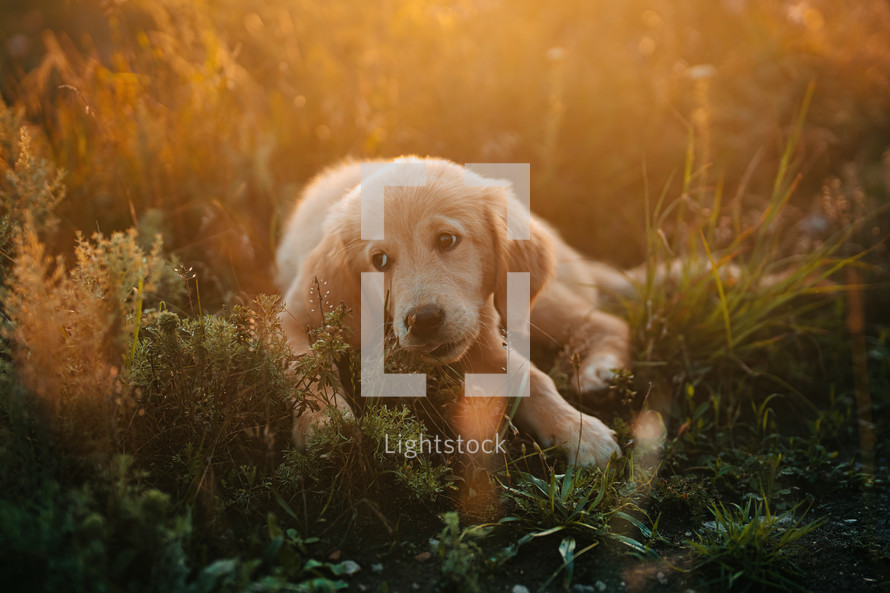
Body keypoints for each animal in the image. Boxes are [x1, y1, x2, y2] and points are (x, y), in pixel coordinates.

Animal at [274, 157, 628, 468]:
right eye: (379, 260)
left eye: (447, 239)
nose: (423, 320)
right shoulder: (291, 318)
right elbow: (301, 365)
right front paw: (324, 422)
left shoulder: (482, 325)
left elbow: (532, 376)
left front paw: (579, 430)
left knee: (608, 322)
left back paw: (599, 370)